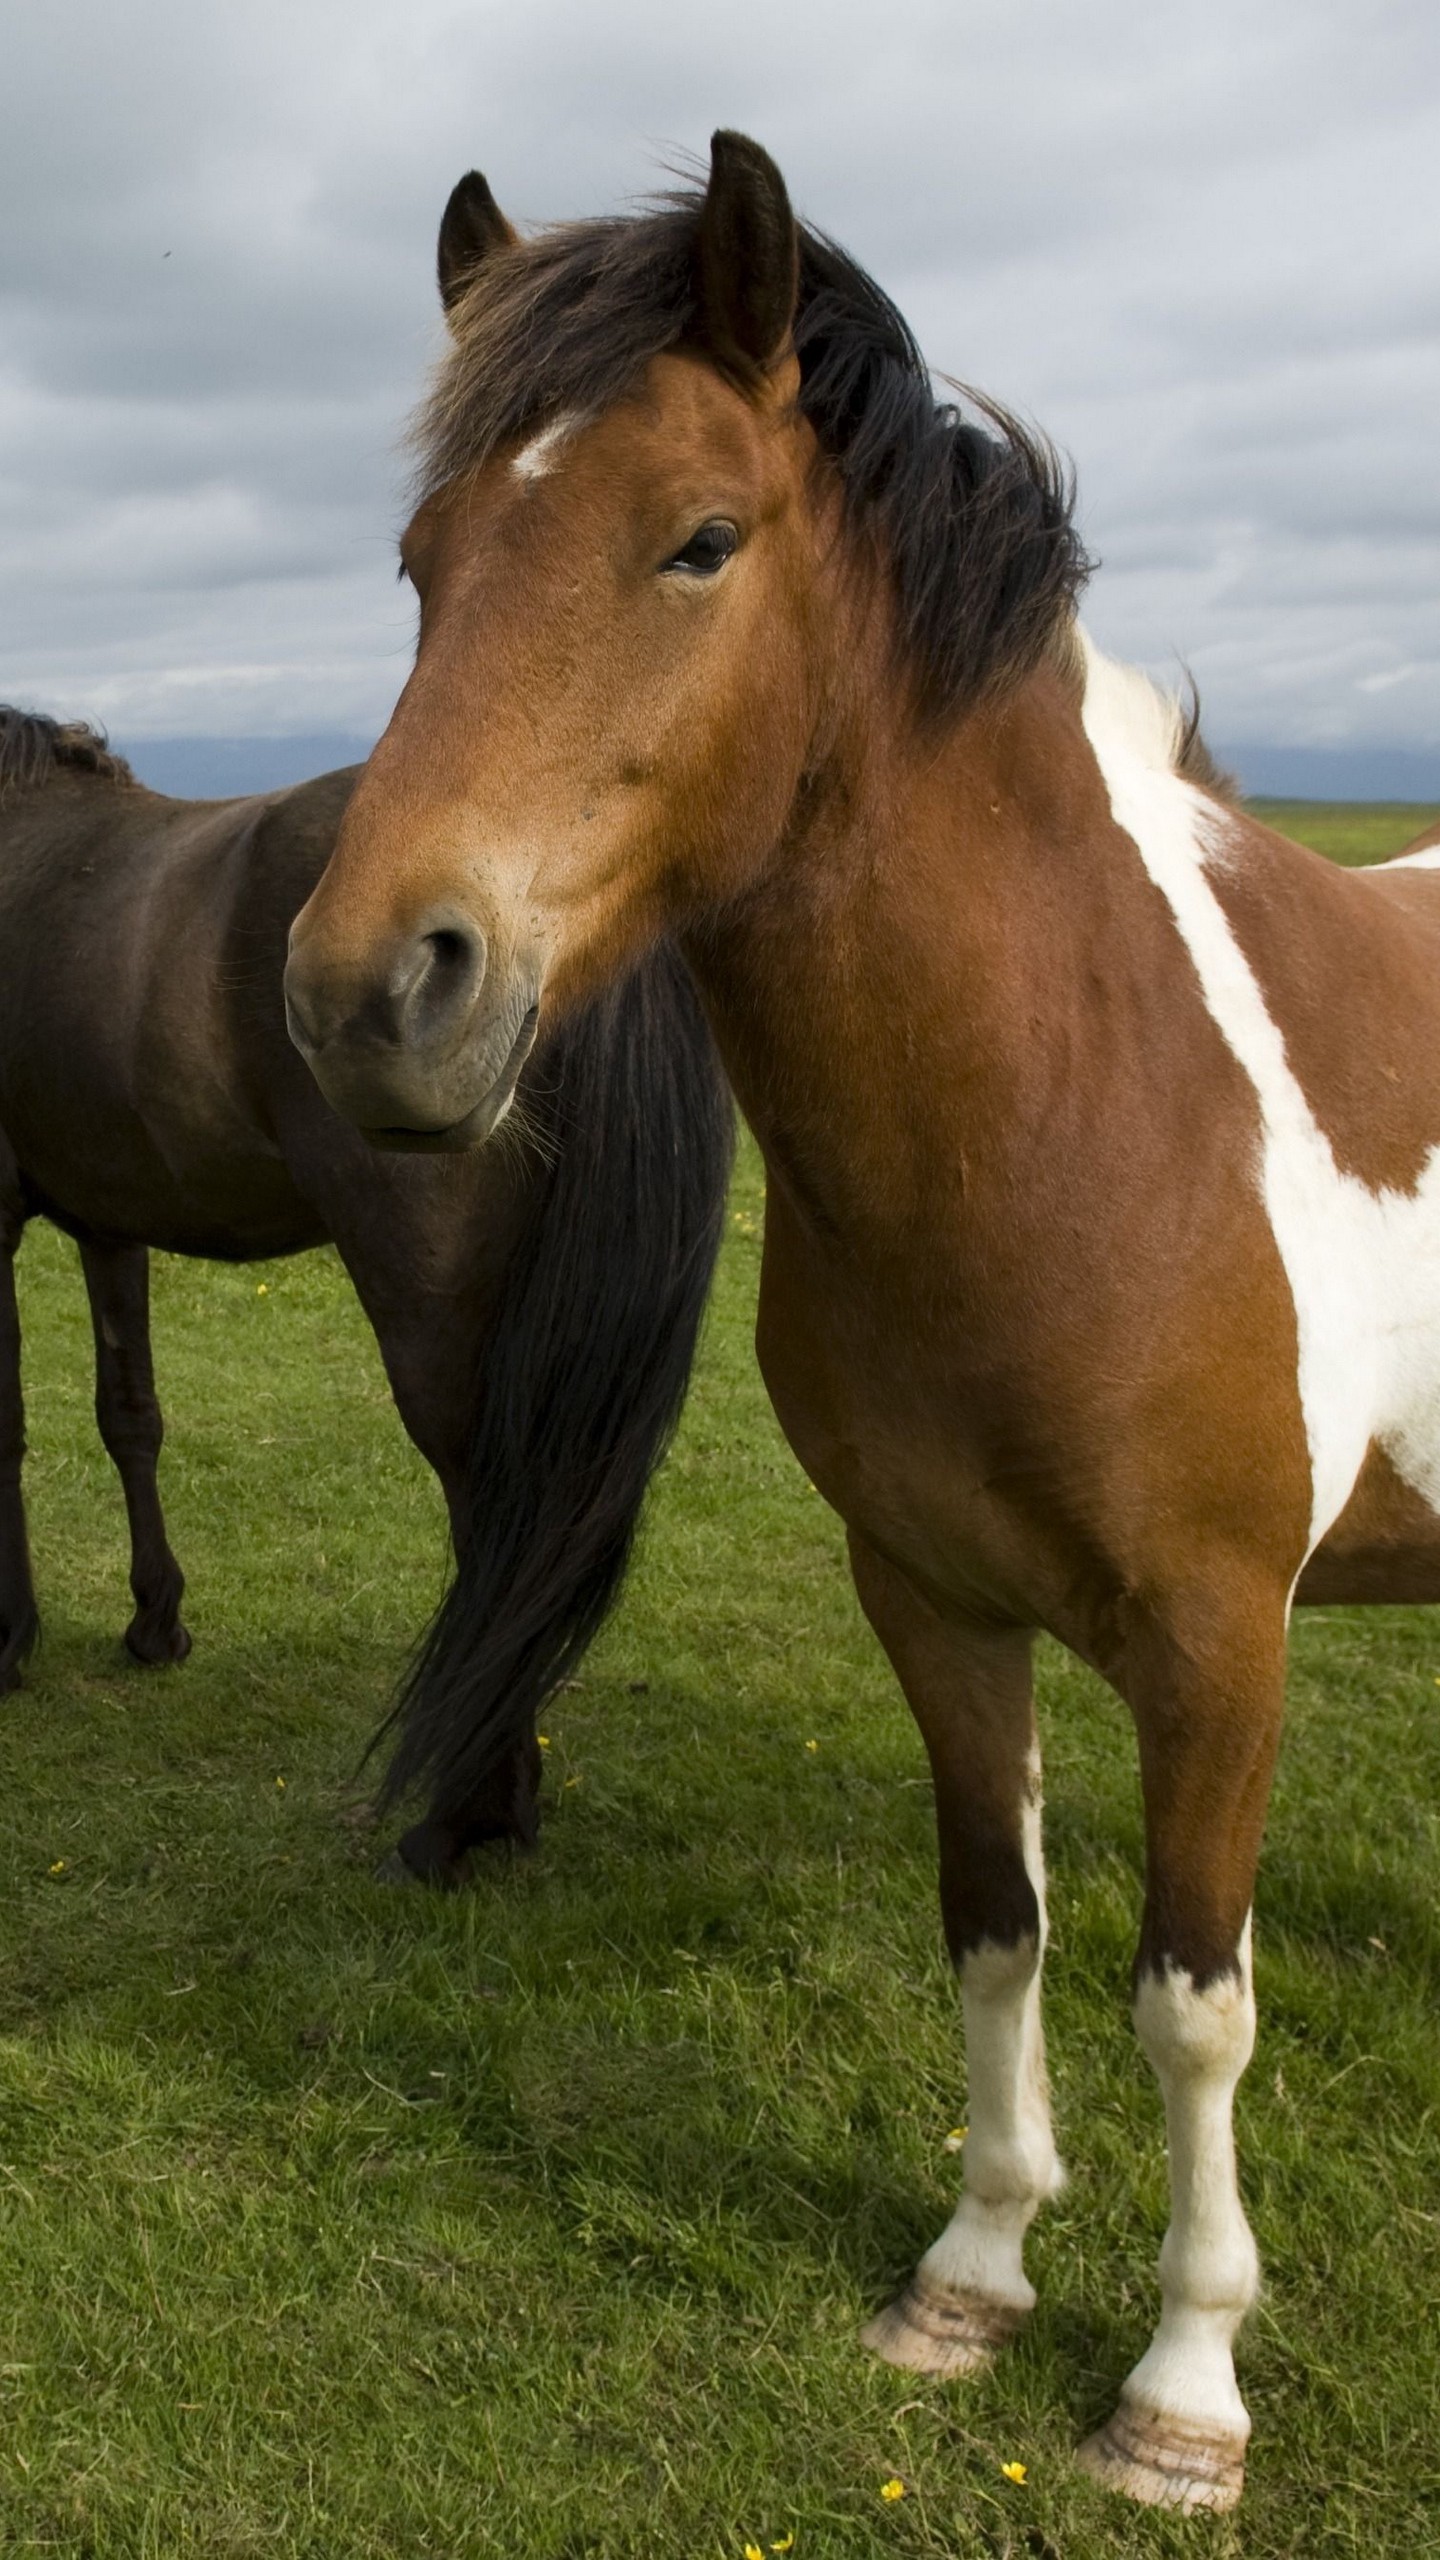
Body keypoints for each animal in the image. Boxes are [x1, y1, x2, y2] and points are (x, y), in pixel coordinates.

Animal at [0, 711, 727, 1894]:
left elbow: (9, 1429)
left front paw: (9, 1635)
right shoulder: (110, 1222)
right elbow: (129, 1417)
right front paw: (156, 1620)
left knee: (493, 1512)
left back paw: (465, 1820)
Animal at [278, 135, 1434, 2498]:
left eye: (701, 539)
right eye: (426, 564)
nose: (372, 993)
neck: (1079, 1099)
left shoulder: (1222, 1639)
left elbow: (1195, 1998)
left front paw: (1184, 2387)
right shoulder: (932, 1598)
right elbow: (995, 1927)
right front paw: (971, 2277)